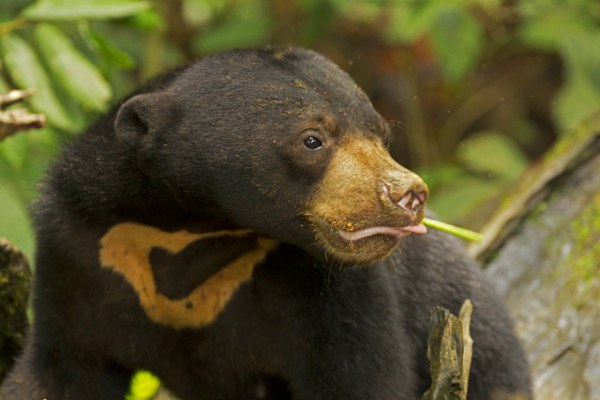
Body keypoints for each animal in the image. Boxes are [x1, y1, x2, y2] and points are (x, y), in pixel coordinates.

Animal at [0, 47, 528, 400]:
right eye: (312, 139)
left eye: (381, 134)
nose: (408, 195)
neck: (195, 230)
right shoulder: (83, 257)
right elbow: (61, 371)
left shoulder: (331, 290)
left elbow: (362, 374)